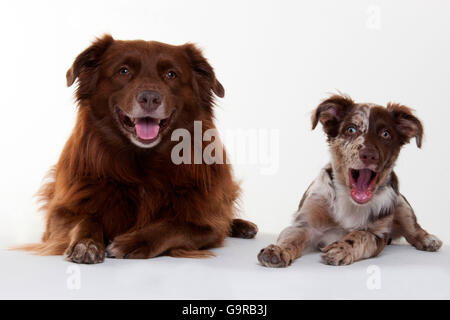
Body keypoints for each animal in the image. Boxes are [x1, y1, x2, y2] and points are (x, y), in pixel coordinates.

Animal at [22, 35, 256, 264]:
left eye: (171, 74)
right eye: (124, 71)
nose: (150, 98)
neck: (143, 162)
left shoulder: (207, 223)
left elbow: (176, 225)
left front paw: (132, 243)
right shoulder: (62, 212)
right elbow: (86, 218)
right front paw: (86, 243)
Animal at [258, 94, 442, 266]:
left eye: (386, 134)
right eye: (351, 129)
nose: (369, 155)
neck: (349, 202)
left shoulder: (378, 235)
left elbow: (360, 235)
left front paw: (341, 248)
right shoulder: (305, 224)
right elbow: (290, 238)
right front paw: (277, 250)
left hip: (400, 202)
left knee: (412, 228)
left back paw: (428, 239)